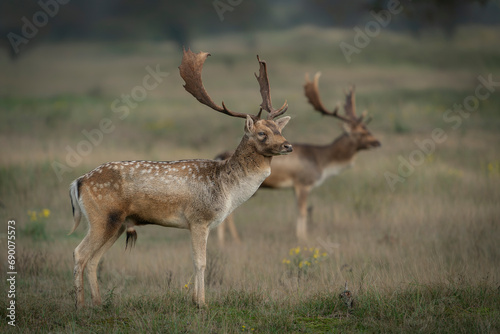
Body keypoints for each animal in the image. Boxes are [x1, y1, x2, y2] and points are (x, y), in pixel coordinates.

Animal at [68, 49, 292, 308]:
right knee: (79, 253)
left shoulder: (198, 224)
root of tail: (78, 182)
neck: (226, 189)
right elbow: (201, 262)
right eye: (262, 133)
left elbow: (196, 261)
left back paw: (99, 304)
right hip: (102, 217)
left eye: (279, 129)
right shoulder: (199, 218)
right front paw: (202, 303)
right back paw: (80, 306)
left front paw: (195, 300)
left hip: (118, 223)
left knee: (94, 259)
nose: (288, 145)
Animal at [218, 72, 378, 243]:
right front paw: (303, 238)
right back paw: (231, 241)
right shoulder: (303, 182)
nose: (377, 142)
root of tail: (220, 155)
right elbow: (302, 212)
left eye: (367, 128)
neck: (322, 161)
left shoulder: (295, 187)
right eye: (360, 133)